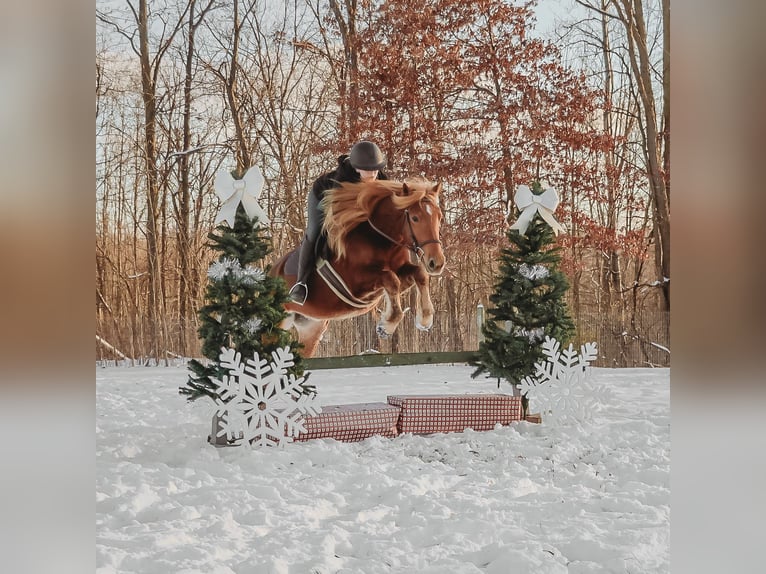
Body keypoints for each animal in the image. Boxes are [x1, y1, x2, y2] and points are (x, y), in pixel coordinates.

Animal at [270, 178, 446, 357]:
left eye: (439, 217)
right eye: (415, 218)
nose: (436, 262)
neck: (380, 239)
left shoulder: (401, 268)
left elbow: (419, 273)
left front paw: (425, 319)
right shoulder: (356, 283)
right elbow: (390, 278)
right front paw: (386, 326)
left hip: (311, 327)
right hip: (276, 323)